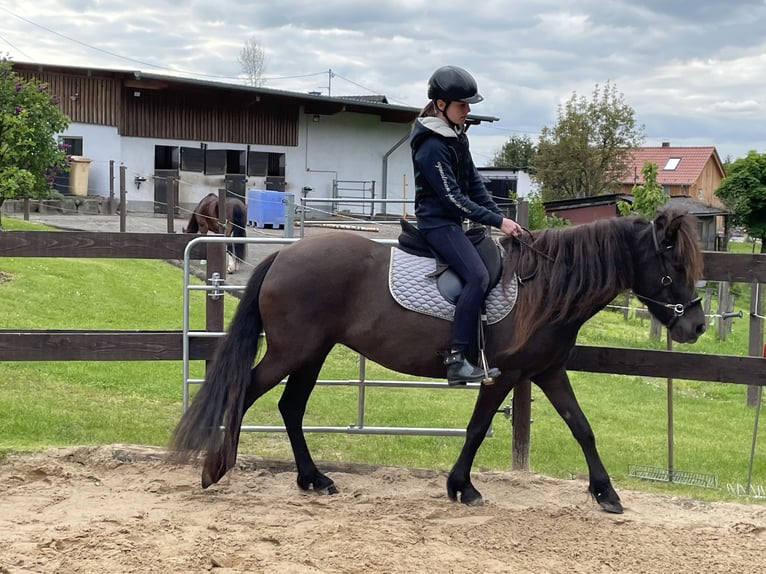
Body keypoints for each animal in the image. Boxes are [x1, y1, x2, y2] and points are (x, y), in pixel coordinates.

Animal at [170, 208, 708, 516]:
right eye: (675, 267)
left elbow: (583, 428)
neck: (545, 287)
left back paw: (314, 480)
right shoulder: (503, 375)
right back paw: (216, 468)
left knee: (290, 408)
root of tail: (282, 256)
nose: (697, 326)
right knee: (247, 393)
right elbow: (477, 428)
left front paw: (606, 494)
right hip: (292, 351)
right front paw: (462, 488)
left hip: (312, 353)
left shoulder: (547, 372)